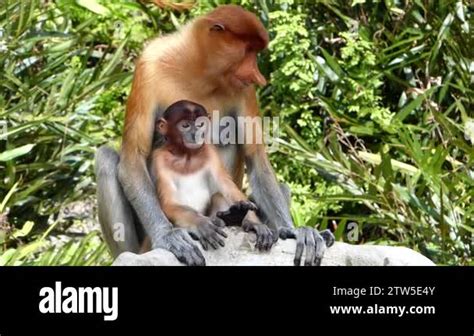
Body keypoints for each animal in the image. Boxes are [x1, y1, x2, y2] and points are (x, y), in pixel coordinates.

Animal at [152, 100, 274, 252]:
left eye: (200, 124)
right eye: (185, 125)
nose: (196, 134)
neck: (186, 155)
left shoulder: (210, 152)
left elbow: (228, 188)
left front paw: (254, 223)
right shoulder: (159, 159)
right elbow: (169, 203)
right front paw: (201, 224)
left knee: (219, 196)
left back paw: (233, 217)